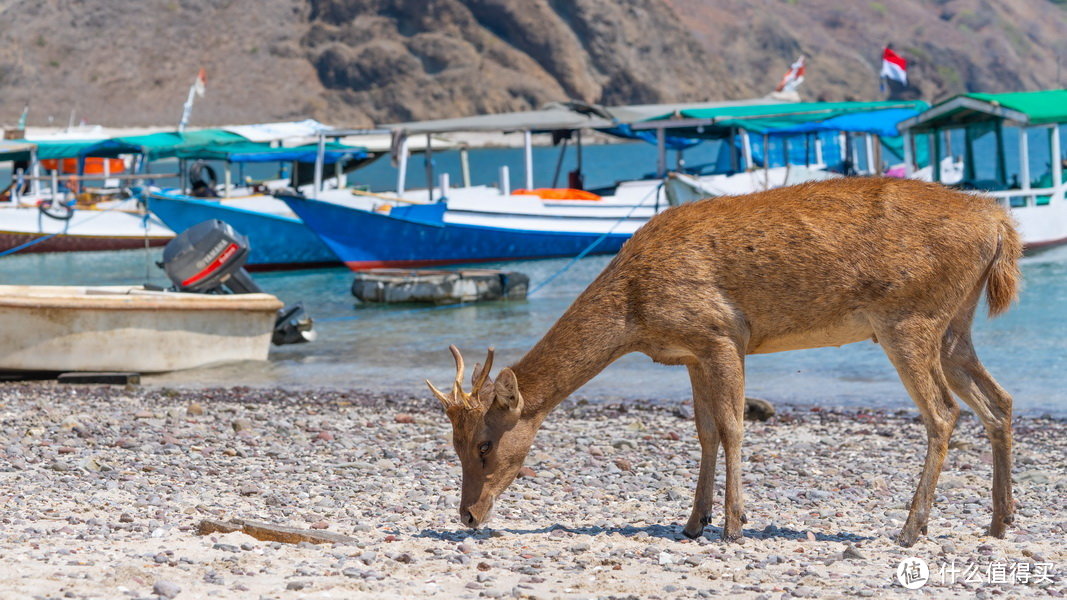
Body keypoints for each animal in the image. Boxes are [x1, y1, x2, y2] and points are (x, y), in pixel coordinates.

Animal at [428, 175, 1020, 544]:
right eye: (452, 444)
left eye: (484, 444)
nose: (467, 514)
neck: (635, 317)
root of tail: (1000, 225)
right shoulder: (689, 352)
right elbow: (705, 430)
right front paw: (693, 521)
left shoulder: (721, 334)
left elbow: (734, 426)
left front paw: (734, 525)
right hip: (955, 324)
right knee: (999, 401)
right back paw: (998, 521)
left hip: (909, 317)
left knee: (943, 412)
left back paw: (910, 529)